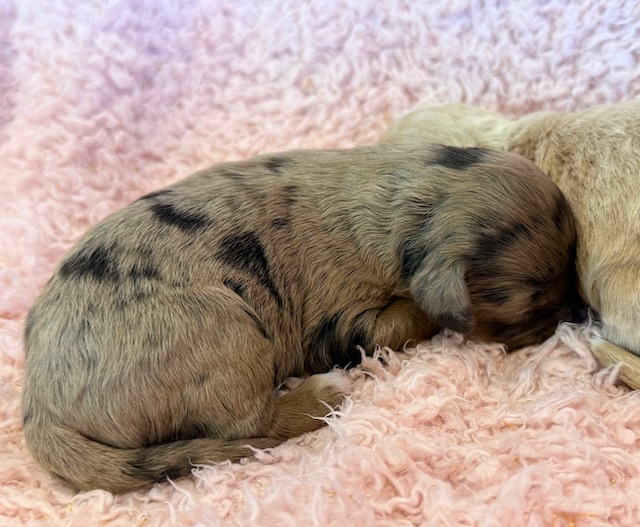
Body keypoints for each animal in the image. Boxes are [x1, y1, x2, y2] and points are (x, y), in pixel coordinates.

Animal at [22, 143, 579, 493]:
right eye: (531, 301)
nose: (568, 315)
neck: (412, 205)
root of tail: (39, 408)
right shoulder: (346, 323)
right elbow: (407, 319)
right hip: (227, 331)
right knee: (246, 421)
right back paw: (319, 396)